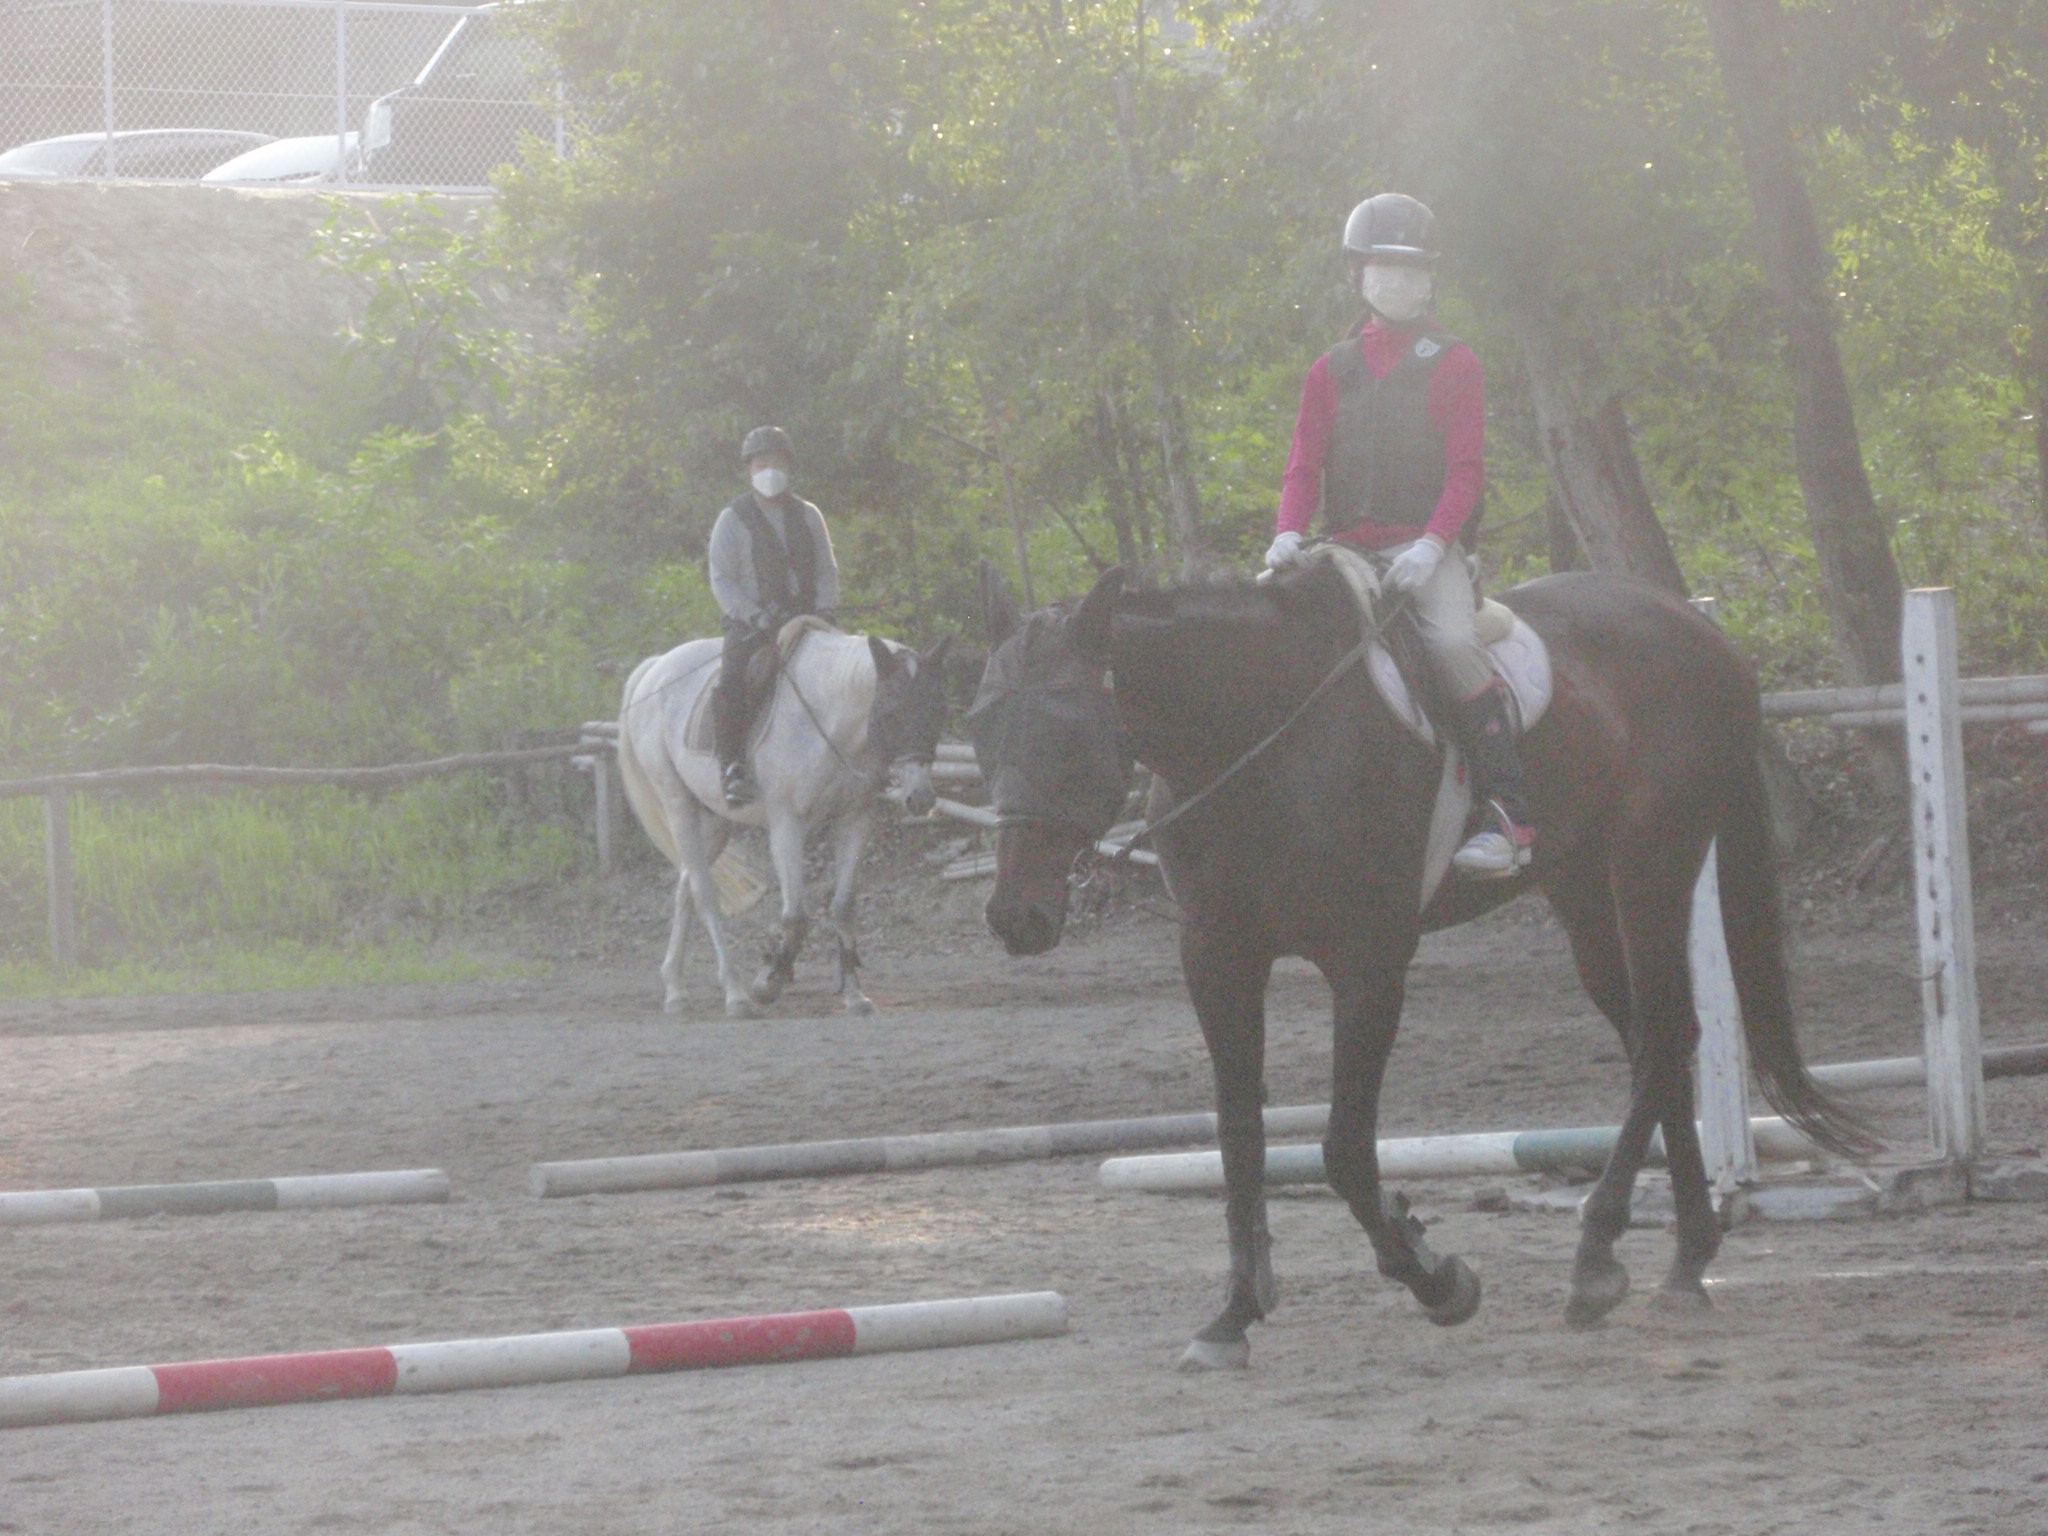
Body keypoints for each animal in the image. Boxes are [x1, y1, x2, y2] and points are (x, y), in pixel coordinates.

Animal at [617, 622, 950, 1019]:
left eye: (936, 710)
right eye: (891, 711)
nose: (921, 798)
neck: (830, 718)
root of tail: (655, 668)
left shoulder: (855, 819)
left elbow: (843, 906)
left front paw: (855, 996)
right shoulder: (787, 824)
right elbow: (795, 915)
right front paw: (768, 982)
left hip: (714, 823)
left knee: (686, 889)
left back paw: (675, 990)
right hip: (677, 804)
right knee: (705, 895)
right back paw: (735, 995)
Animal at [968, 553, 1871, 1367]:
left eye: (1066, 730)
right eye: (982, 729)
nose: (1016, 918)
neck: (1260, 739)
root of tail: (1696, 624)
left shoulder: (1369, 962)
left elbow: (1342, 1151)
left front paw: (1437, 1279)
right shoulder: (1217, 957)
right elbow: (1238, 1139)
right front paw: (1233, 1315)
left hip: (1654, 862)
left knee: (1668, 1033)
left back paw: (1598, 1257)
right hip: (1580, 883)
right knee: (1655, 1040)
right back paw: (1683, 1259)